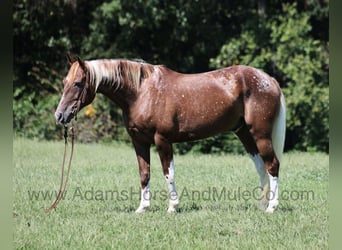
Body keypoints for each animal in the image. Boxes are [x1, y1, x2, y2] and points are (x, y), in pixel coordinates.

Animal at [56, 54, 286, 213]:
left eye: (78, 83)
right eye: (64, 82)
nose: (59, 115)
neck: (141, 92)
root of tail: (269, 80)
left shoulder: (162, 140)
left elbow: (169, 173)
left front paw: (173, 206)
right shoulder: (139, 142)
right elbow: (144, 174)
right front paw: (142, 208)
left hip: (260, 135)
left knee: (272, 165)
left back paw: (272, 207)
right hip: (244, 134)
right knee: (261, 167)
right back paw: (262, 204)